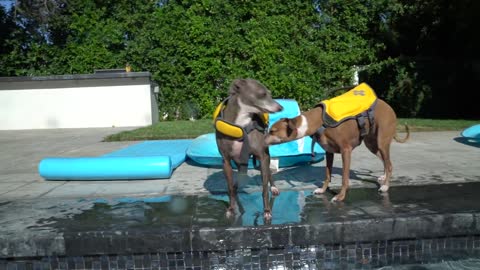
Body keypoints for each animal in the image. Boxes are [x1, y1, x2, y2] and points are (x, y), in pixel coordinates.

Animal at [215, 78, 284, 219]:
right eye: (262, 94)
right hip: (239, 161)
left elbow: (264, 188)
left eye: (270, 93)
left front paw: (267, 211)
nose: (281, 107)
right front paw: (231, 208)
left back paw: (274, 188)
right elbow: (229, 187)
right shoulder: (226, 161)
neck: (241, 125)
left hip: (265, 158)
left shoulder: (263, 156)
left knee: (268, 174)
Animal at [266, 98, 408, 201]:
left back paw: (385, 186)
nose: (262, 140)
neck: (319, 121)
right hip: (372, 145)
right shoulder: (329, 152)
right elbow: (327, 175)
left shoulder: (346, 151)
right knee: (386, 162)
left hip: (382, 142)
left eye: (272, 131)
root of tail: (388, 106)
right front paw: (322, 190)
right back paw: (383, 177)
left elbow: (344, 178)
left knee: (389, 164)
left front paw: (340, 196)